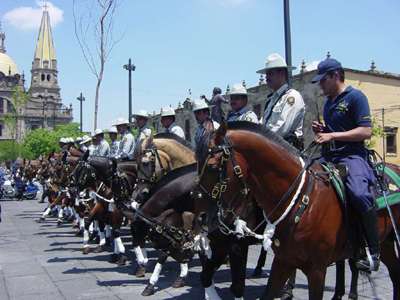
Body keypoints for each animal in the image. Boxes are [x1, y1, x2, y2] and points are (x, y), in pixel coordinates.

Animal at [198, 122, 400, 300]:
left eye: (212, 166)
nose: (203, 217)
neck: (302, 201)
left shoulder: (316, 270)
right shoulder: (283, 261)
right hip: (386, 243)